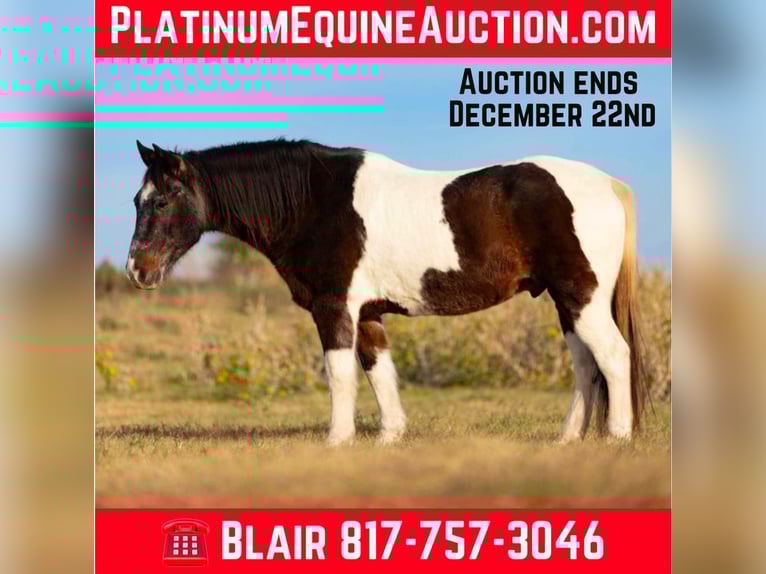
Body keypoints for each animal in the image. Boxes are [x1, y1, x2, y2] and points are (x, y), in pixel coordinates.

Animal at [126, 138, 648, 445]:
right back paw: (568, 438)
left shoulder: (334, 307)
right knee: (586, 365)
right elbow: (378, 371)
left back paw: (617, 437)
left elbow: (340, 374)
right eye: (137, 200)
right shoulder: (368, 313)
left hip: (581, 297)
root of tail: (607, 184)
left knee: (613, 356)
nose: (137, 270)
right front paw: (389, 438)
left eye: (163, 200)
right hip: (568, 301)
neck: (313, 201)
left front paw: (337, 442)